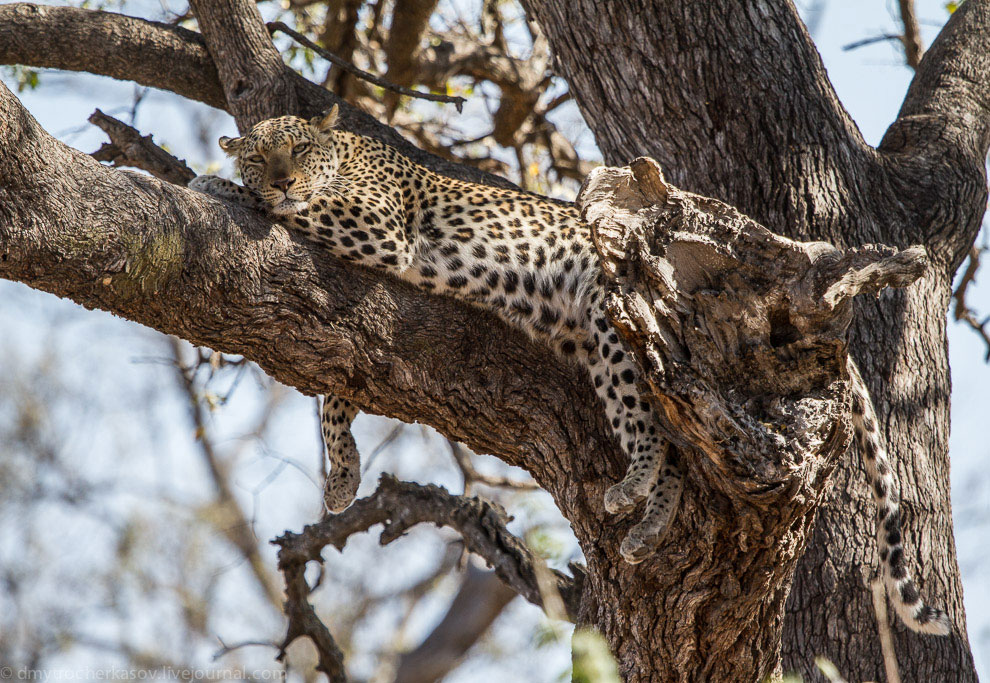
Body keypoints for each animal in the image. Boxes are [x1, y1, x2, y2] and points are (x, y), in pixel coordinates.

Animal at [188, 105, 952, 636]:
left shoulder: (378, 227)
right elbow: (336, 394)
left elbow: (306, 214)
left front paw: (212, 181)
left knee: (655, 434)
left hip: (621, 331)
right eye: (263, 155)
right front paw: (343, 475)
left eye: (298, 150)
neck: (343, 155)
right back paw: (645, 528)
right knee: (672, 448)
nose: (280, 178)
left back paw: (630, 494)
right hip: (604, 348)